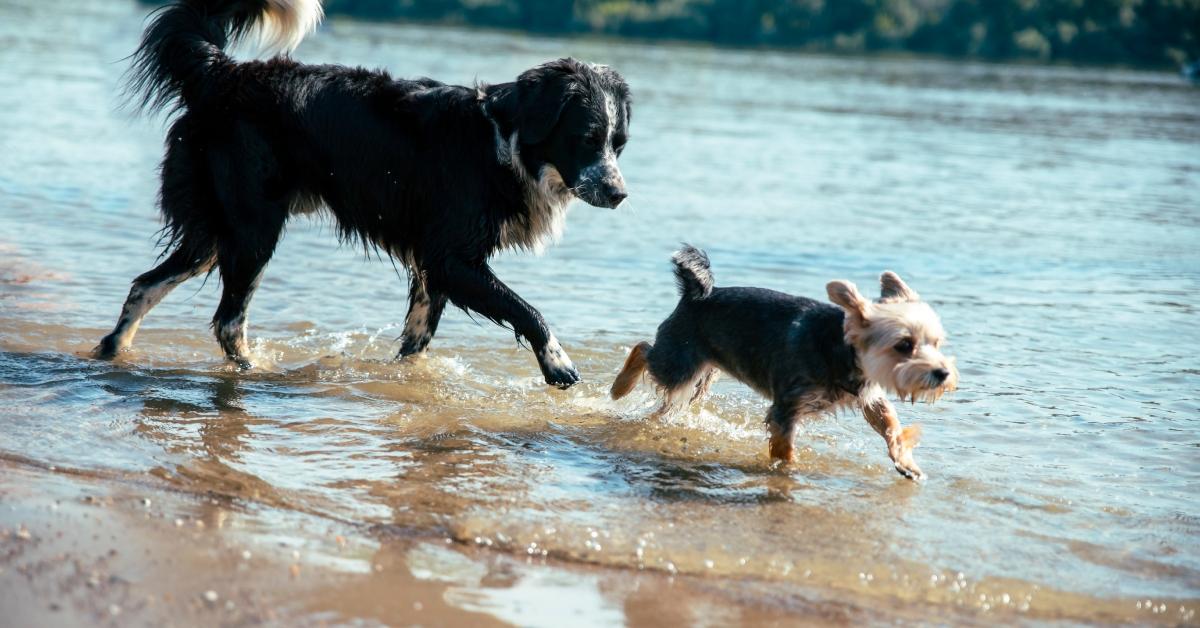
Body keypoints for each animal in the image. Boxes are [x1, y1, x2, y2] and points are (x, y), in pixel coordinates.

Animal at [97, 0, 633, 386]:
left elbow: (417, 339)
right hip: (252, 227)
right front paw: (558, 364)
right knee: (227, 320)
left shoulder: (433, 265)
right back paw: (255, 373)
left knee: (146, 284)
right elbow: (528, 310)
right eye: (586, 138)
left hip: (214, 229)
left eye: (619, 144)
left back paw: (112, 350)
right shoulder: (451, 257)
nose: (619, 194)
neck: (503, 141)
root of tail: (223, 72)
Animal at [614, 247, 960, 482]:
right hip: (678, 362)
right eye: (903, 345)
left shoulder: (870, 396)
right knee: (643, 350)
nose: (942, 373)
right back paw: (620, 387)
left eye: (936, 343)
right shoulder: (787, 407)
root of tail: (697, 293)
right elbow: (785, 448)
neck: (841, 349)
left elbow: (891, 426)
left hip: (701, 374)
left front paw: (907, 463)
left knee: (672, 400)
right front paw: (788, 472)